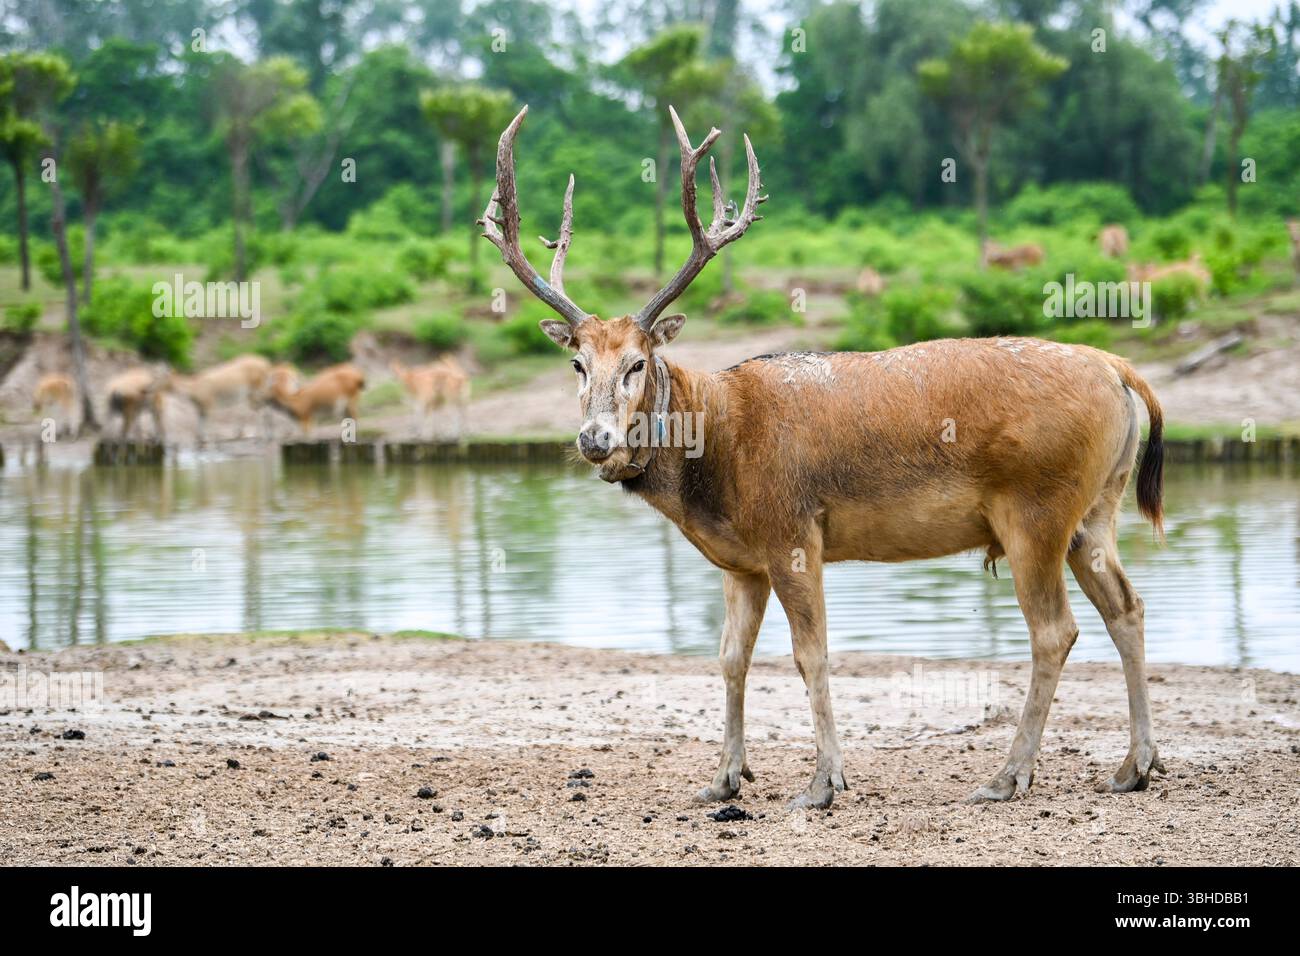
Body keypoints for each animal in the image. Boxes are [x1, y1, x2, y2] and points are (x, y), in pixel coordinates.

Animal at [480, 105, 1167, 810]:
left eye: (638, 363)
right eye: (577, 362)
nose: (596, 440)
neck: (716, 456)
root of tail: (1119, 369)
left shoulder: (792, 532)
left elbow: (810, 653)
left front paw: (824, 782)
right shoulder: (742, 562)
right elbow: (730, 656)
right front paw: (723, 779)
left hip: (1035, 511)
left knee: (1055, 630)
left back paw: (1008, 775)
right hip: (1097, 510)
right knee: (1127, 607)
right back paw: (1134, 766)